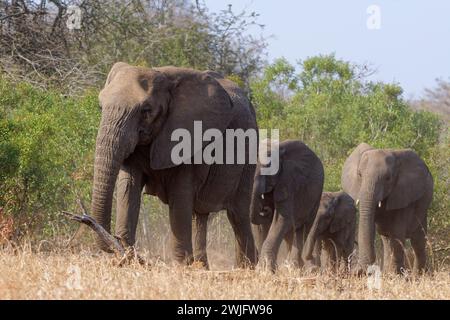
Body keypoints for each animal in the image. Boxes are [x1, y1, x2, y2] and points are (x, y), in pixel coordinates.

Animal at [90, 62, 256, 268]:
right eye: (100, 107)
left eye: (146, 110)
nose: (116, 240)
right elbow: (128, 188)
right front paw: (127, 257)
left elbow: (180, 198)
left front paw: (181, 266)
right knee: (199, 215)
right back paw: (202, 267)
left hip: (248, 153)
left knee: (238, 214)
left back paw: (248, 268)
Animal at [342, 144, 434, 274]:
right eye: (359, 175)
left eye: (388, 178)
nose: (358, 271)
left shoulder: (403, 194)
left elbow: (397, 234)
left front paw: (396, 276)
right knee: (386, 238)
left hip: (423, 208)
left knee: (418, 242)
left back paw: (416, 276)